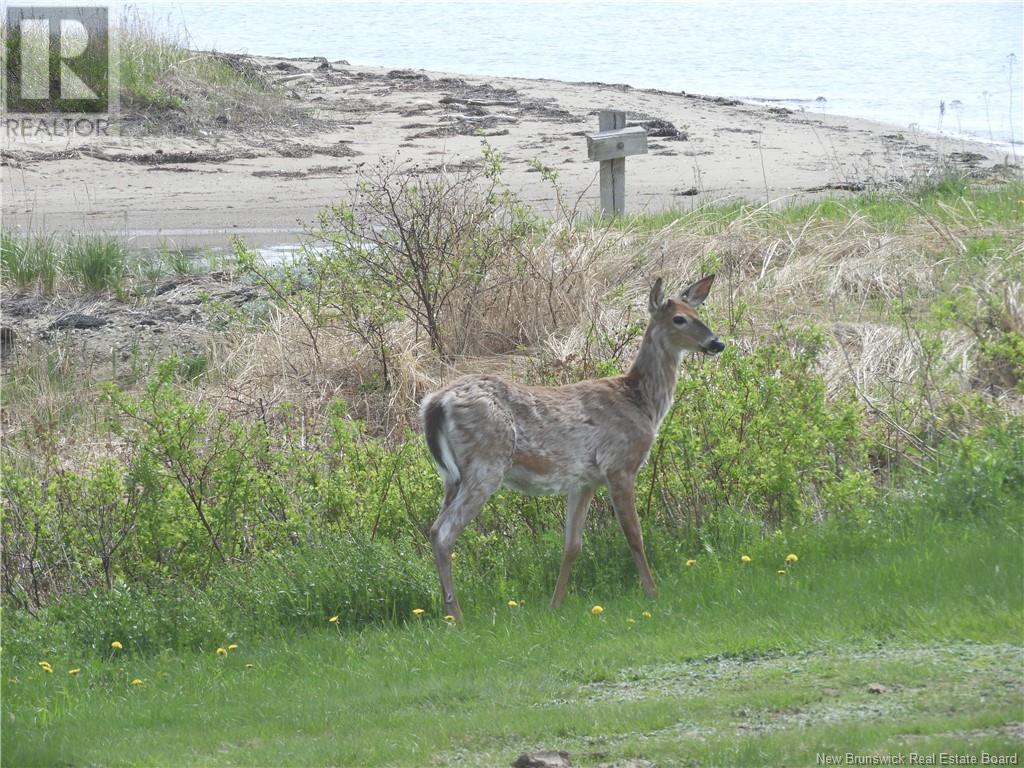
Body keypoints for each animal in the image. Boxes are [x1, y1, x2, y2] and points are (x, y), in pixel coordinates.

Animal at [419, 276, 724, 626]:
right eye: (679, 319)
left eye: (699, 313)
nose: (717, 343)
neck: (642, 403)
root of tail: (435, 402)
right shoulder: (619, 465)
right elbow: (634, 534)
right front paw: (653, 593)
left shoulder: (584, 480)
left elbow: (572, 545)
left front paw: (555, 605)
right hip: (486, 463)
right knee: (444, 531)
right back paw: (456, 616)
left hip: (452, 476)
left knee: (434, 528)